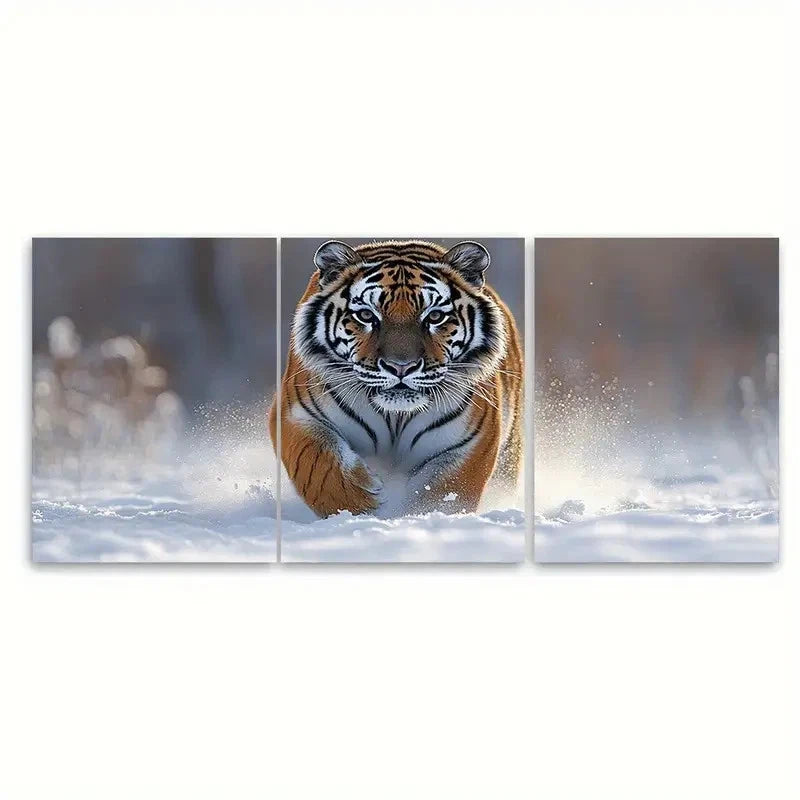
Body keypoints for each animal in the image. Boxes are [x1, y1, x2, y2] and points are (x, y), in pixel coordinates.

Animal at [269, 239, 523, 519]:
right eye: (366, 316)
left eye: (435, 317)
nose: (401, 367)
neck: (395, 417)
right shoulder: (297, 415)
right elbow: (320, 467)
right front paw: (363, 505)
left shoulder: (470, 443)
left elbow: (445, 492)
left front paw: (416, 515)